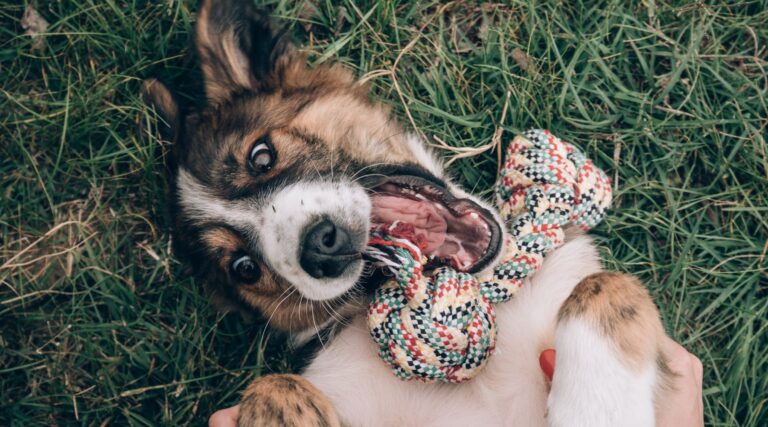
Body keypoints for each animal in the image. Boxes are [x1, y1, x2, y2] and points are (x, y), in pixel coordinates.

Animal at [144, 0, 672, 427]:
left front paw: (599, 411)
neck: (485, 296)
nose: (322, 248)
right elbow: (271, 385)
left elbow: (606, 285)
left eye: (261, 156)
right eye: (245, 268)